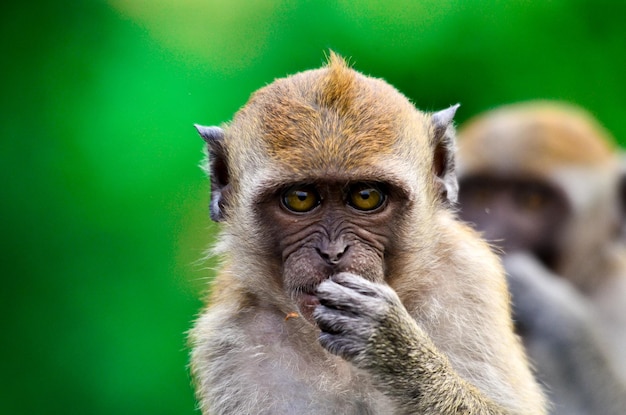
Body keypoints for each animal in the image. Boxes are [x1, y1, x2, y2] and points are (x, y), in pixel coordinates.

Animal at [188, 53, 544, 414]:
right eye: (300, 199)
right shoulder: (228, 339)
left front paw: (393, 346)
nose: (333, 252)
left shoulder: (469, 277)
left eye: (366, 196)